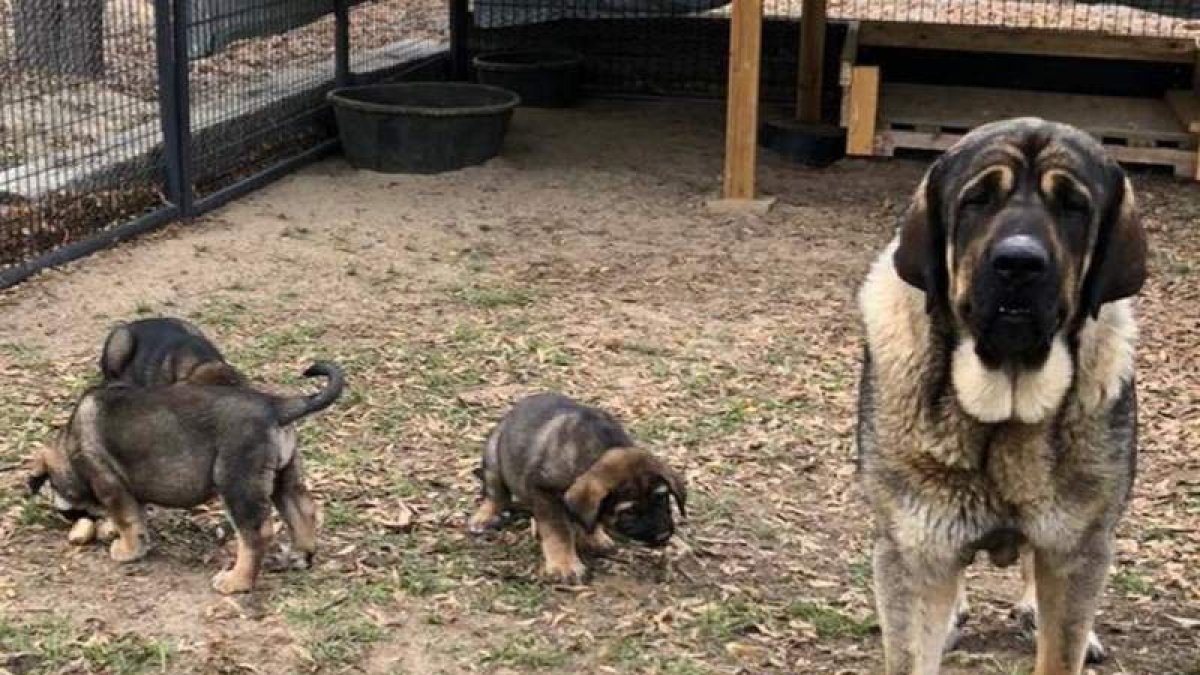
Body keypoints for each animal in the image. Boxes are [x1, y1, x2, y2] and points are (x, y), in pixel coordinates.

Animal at [27, 362, 344, 594]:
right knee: (303, 511)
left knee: (255, 534)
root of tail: (276, 406)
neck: (69, 447)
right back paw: (300, 557)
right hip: (283, 476)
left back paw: (236, 582)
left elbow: (127, 521)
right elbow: (137, 520)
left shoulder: (111, 487)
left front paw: (126, 550)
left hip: (237, 482)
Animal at [467, 392, 686, 584]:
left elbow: (590, 517)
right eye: (629, 512)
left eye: (662, 497)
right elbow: (558, 531)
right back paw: (484, 517)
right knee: (495, 494)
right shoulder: (545, 492)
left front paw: (594, 537)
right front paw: (565, 566)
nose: (663, 536)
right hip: (493, 458)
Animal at [856, 117, 1146, 675]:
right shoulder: (912, 552)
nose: (1019, 263)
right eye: (977, 201)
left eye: (1073, 207)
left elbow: (1060, 647)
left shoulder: (1079, 553)